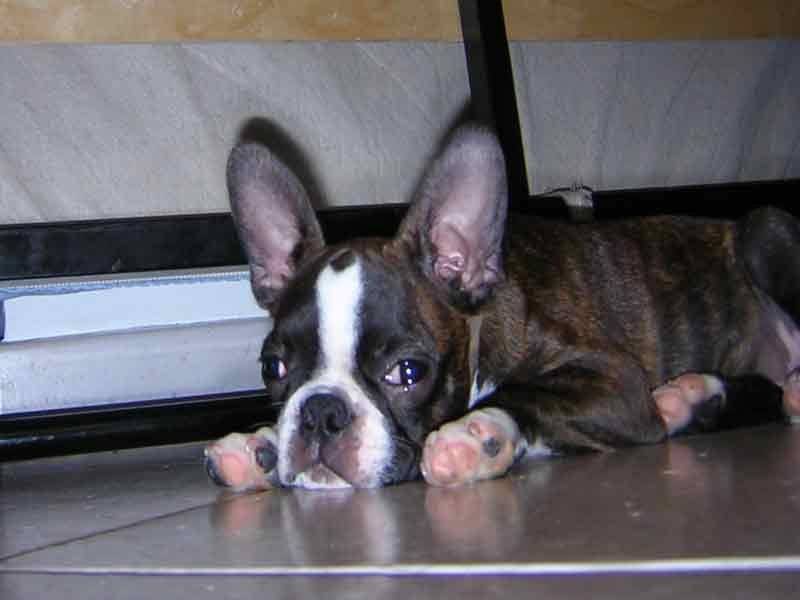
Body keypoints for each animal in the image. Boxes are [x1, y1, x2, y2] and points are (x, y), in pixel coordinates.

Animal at [204, 124, 800, 491]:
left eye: (408, 372)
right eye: (273, 367)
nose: (321, 414)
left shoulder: (618, 384)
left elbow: (526, 391)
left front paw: (477, 435)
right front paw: (258, 445)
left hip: (764, 229)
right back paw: (691, 398)